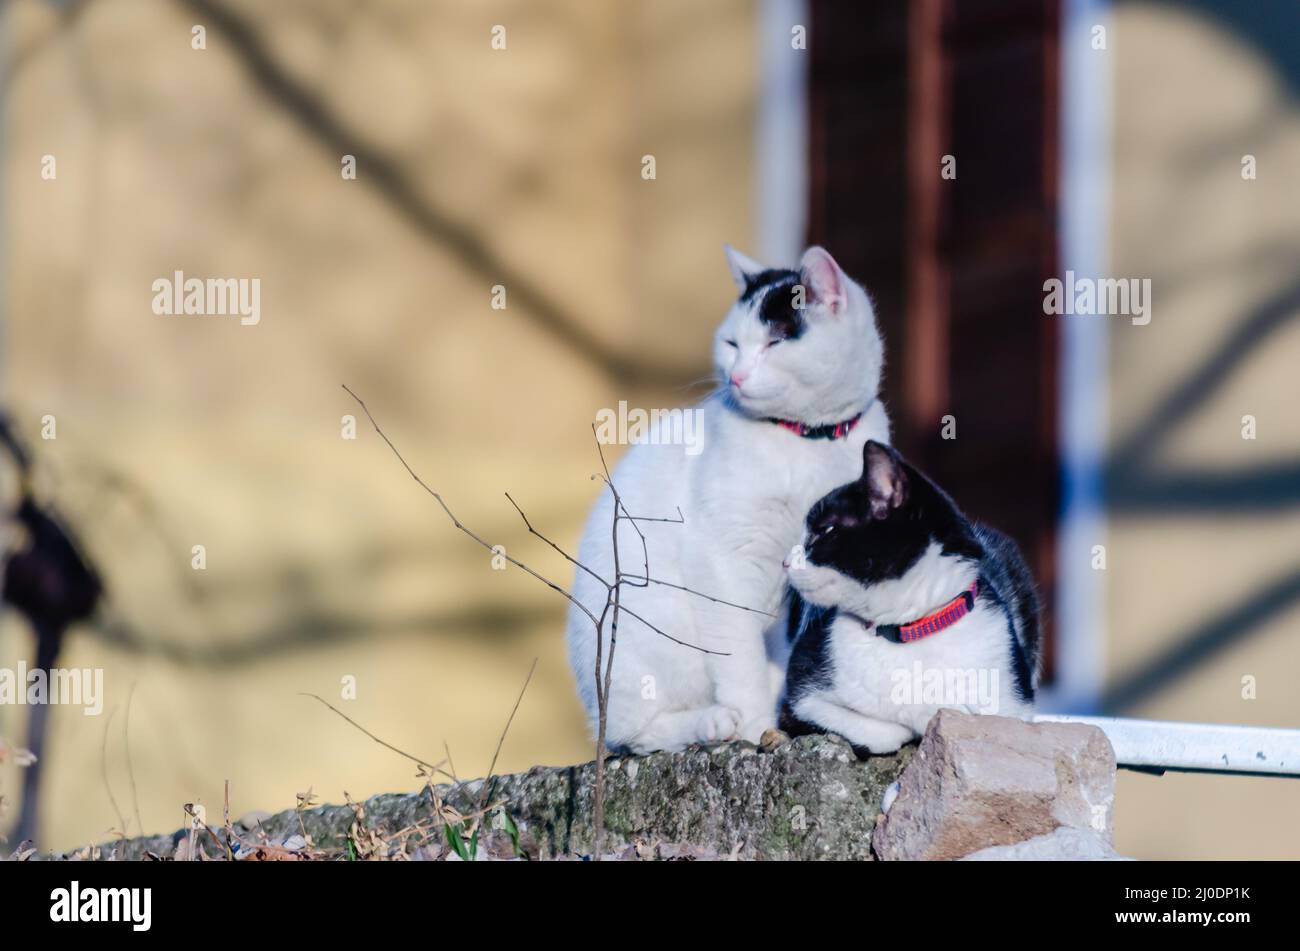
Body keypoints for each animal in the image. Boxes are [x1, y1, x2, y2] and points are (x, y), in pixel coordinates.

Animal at [569, 245, 894, 748]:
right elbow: (741, 658)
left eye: (775, 343)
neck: (808, 439)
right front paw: (756, 725)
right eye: (732, 344)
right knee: (633, 732)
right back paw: (710, 722)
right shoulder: (722, 556)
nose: (737, 376)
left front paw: (779, 718)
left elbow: (780, 656)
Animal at [774, 439, 1040, 758]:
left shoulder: (1014, 706)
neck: (908, 628)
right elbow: (884, 731)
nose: (785, 562)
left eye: (824, 531)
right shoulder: (800, 694)